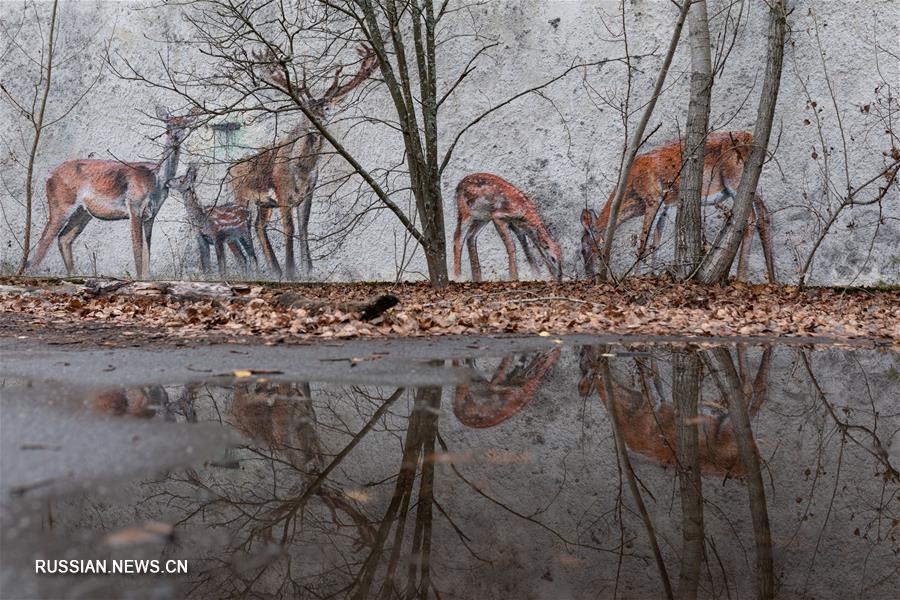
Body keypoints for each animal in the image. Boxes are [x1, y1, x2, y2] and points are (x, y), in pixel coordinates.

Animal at [26, 106, 199, 278]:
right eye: (167, 126)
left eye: (185, 125)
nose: (176, 136)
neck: (156, 180)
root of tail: (49, 176)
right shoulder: (134, 206)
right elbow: (137, 249)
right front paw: (138, 278)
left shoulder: (151, 215)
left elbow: (147, 250)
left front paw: (146, 278)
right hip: (61, 204)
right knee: (44, 240)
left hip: (83, 212)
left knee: (63, 238)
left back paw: (73, 274)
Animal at [229, 45, 380, 280]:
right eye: (306, 108)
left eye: (327, 108)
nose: (316, 120)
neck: (301, 170)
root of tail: (229, 168)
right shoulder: (282, 191)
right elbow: (289, 228)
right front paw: (292, 271)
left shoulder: (309, 191)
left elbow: (304, 226)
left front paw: (307, 269)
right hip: (240, 193)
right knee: (238, 225)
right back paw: (251, 268)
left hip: (263, 203)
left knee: (258, 225)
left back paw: (274, 269)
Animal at [580, 131, 776, 282]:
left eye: (583, 249)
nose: (589, 276)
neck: (634, 191)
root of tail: (751, 138)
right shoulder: (665, 206)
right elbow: (656, 243)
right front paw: (652, 275)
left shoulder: (653, 199)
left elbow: (643, 243)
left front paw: (635, 276)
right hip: (749, 182)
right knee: (764, 213)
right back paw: (772, 277)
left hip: (735, 177)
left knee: (750, 217)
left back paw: (742, 277)